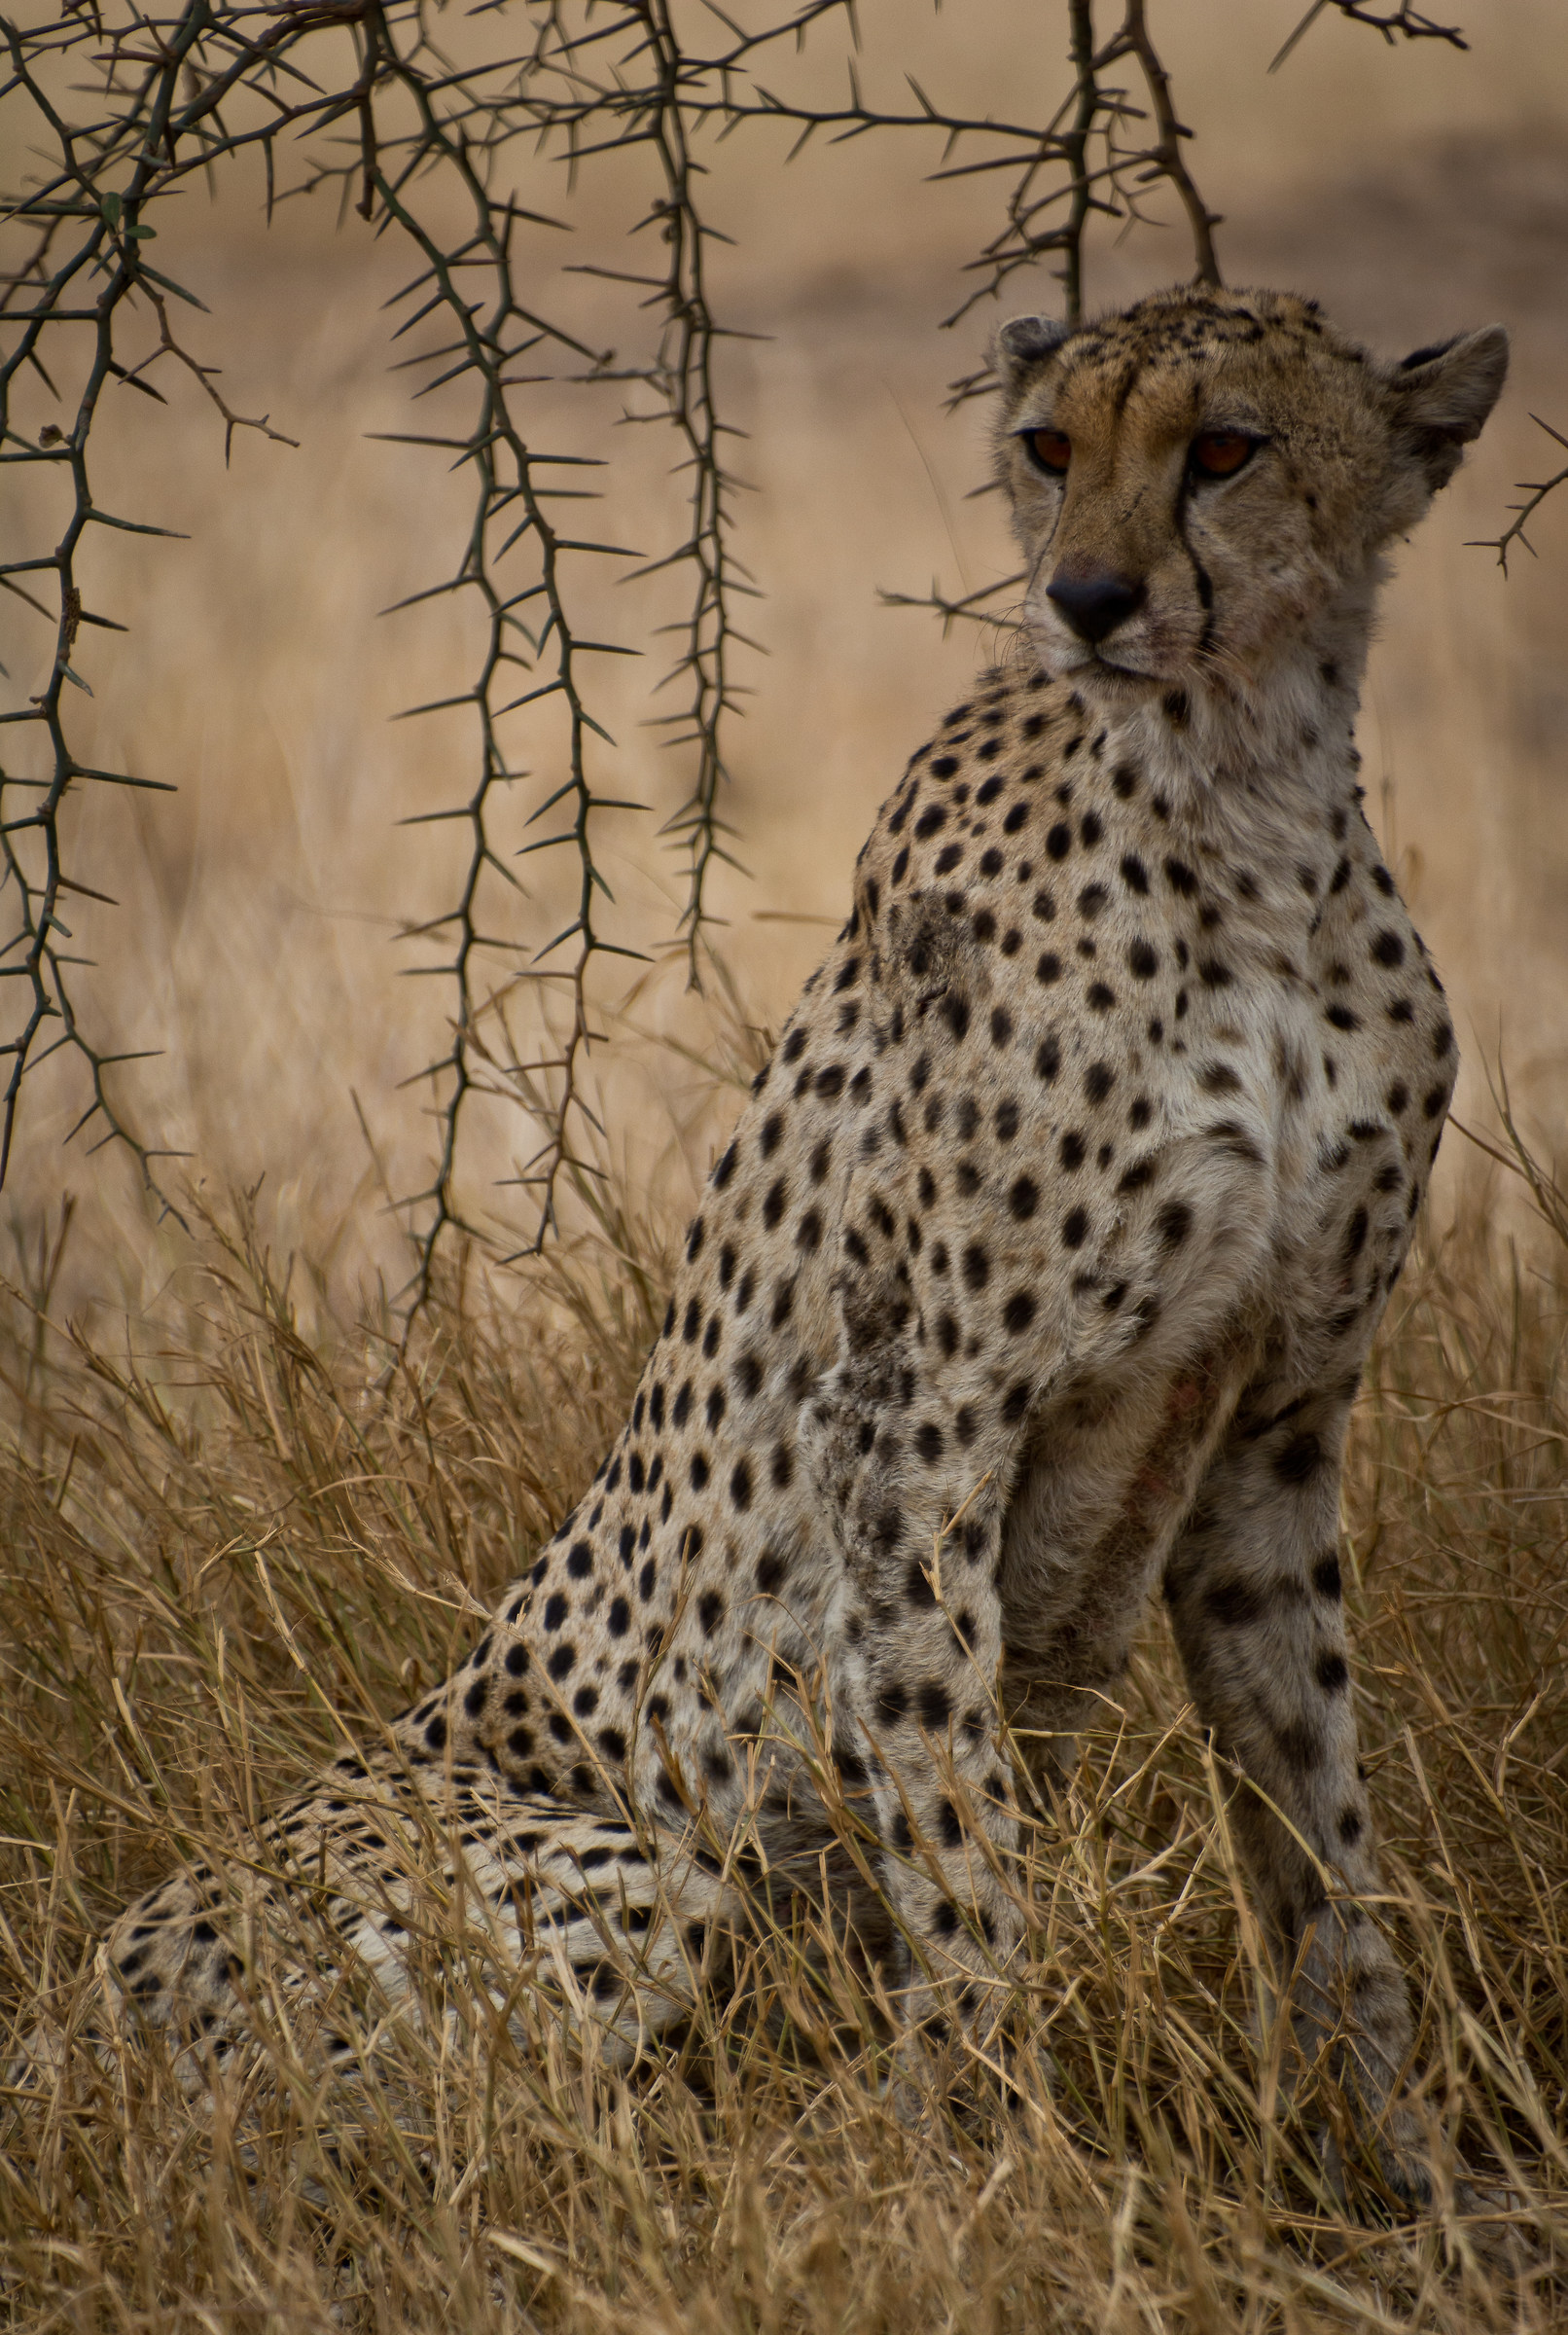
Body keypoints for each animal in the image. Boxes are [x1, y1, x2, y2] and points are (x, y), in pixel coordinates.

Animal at [65, 285, 1510, 2195]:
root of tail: (57, 2031)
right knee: (475, 2156)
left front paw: (1407, 2173)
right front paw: (992, 2178)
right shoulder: (916, 1418)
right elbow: (961, 1848)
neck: (1240, 798)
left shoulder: (1269, 1427)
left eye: (1225, 448)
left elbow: (1323, 1837)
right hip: (618, 1869)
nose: (1086, 597)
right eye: (1049, 448)